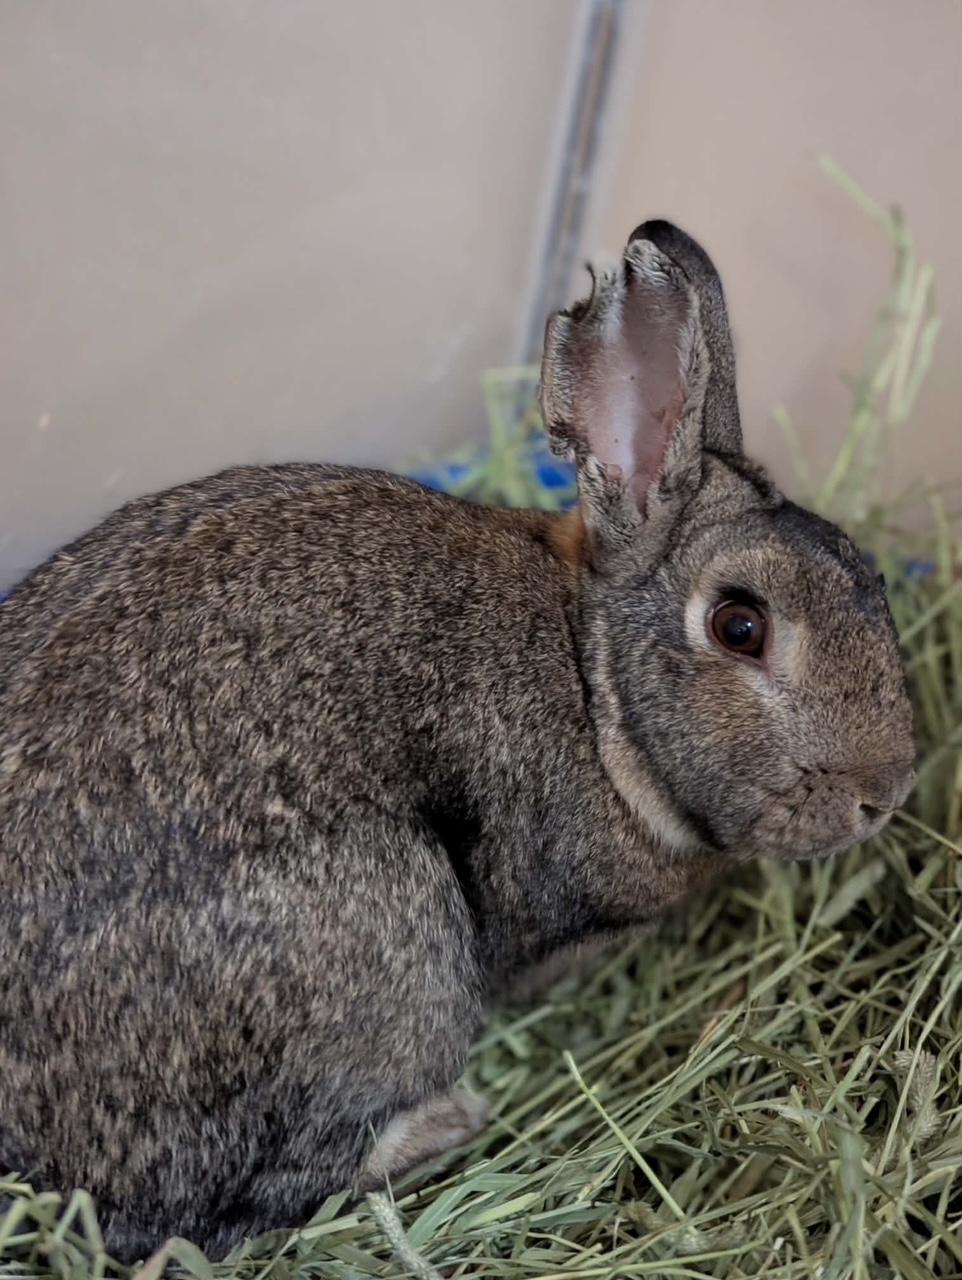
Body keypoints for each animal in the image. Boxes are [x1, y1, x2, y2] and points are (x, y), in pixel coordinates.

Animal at [0, 219, 915, 1262]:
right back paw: (452, 1121)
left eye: (871, 578)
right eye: (739, 625)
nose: (886, 793)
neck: (594, 689)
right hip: (391, 943)